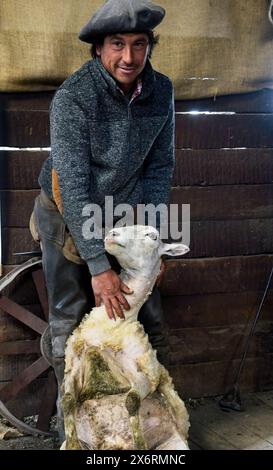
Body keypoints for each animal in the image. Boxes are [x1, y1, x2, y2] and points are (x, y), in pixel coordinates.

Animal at [61, 226, 189, 450]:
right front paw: (73, 444)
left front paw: (140, 444)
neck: (112, 325)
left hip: (175, 442)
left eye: (152, 236)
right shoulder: (74, 369)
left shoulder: (144, 376)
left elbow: (131, 400)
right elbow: (67, 401)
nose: (112, 233)